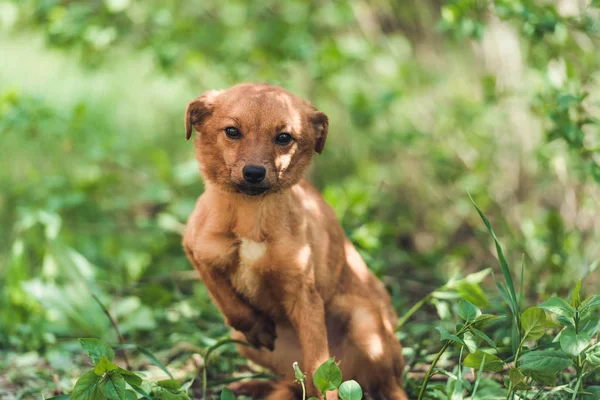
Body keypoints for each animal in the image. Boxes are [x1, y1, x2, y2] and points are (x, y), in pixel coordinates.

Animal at [182, 84, 408, 400]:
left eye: (284, 137)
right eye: (232, 131)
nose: (254, 173)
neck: (250, 214)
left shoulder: (303, 292)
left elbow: (318, 366)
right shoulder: (196, 250)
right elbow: (226, 298)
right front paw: (258, 326)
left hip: (367, 327)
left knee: (379, 384)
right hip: (242, 343)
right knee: (289, 382)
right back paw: (252, 386)